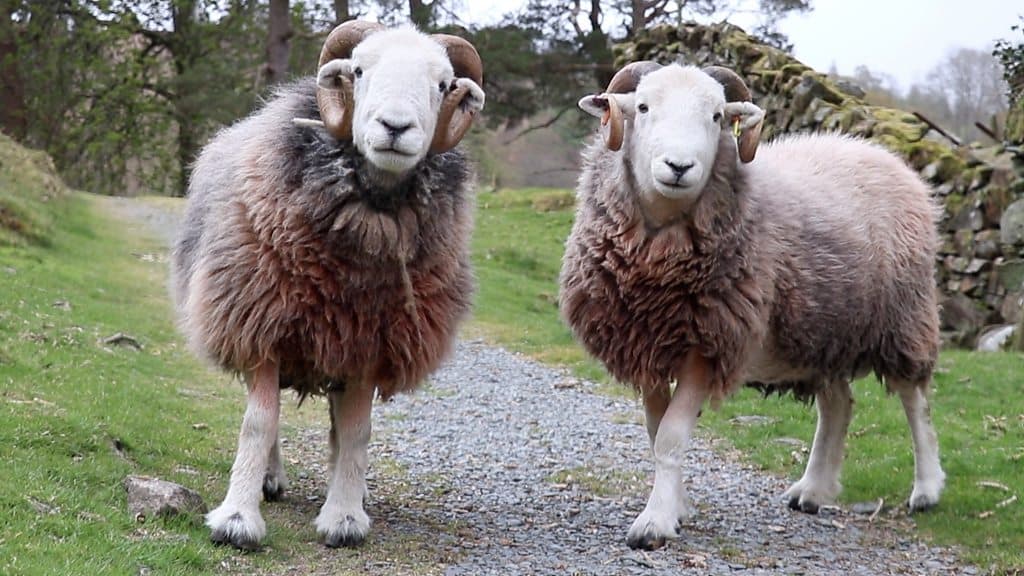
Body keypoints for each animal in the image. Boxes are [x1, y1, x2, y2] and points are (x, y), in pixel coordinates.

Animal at [169, 21, 485, 545]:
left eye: (443, 85)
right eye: (358, 70)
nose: (395, 128)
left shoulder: (370, 344)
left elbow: (357, 431)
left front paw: (344, 516)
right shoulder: (261, 325)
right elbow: (259, 422)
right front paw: (237, 518)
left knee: (341, 425)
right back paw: (270, 479)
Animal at [561, 61, 942, 545]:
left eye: (717, 117)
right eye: (643, 107)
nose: (679, 167)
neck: (657, 263)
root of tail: (881, 154)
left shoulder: (709, 344)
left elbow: (670, 437)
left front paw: (655, 523)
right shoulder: (645, 341)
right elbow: (654, 431)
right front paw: (676, 507)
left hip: (904, 317)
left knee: (915, 401)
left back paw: (927, 489)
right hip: (821, 332)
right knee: (839, 403)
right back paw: (812, 490)